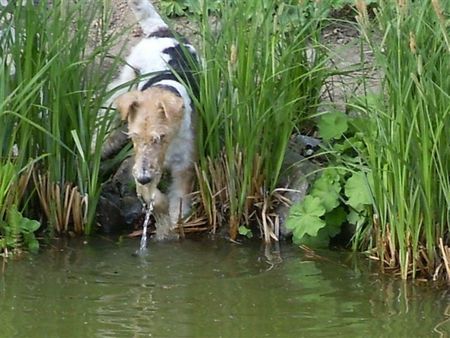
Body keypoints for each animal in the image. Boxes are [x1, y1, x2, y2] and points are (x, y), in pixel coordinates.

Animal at [102, 0, 200, 238]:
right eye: (134, 136)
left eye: (160, 137)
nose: (144, 178)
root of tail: (162, 29)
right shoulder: (144, 170)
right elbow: (156, 199)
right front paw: (163, 224)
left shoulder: (184, 168)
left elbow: (177, 205)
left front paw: (169, 230)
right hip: (125, 83)